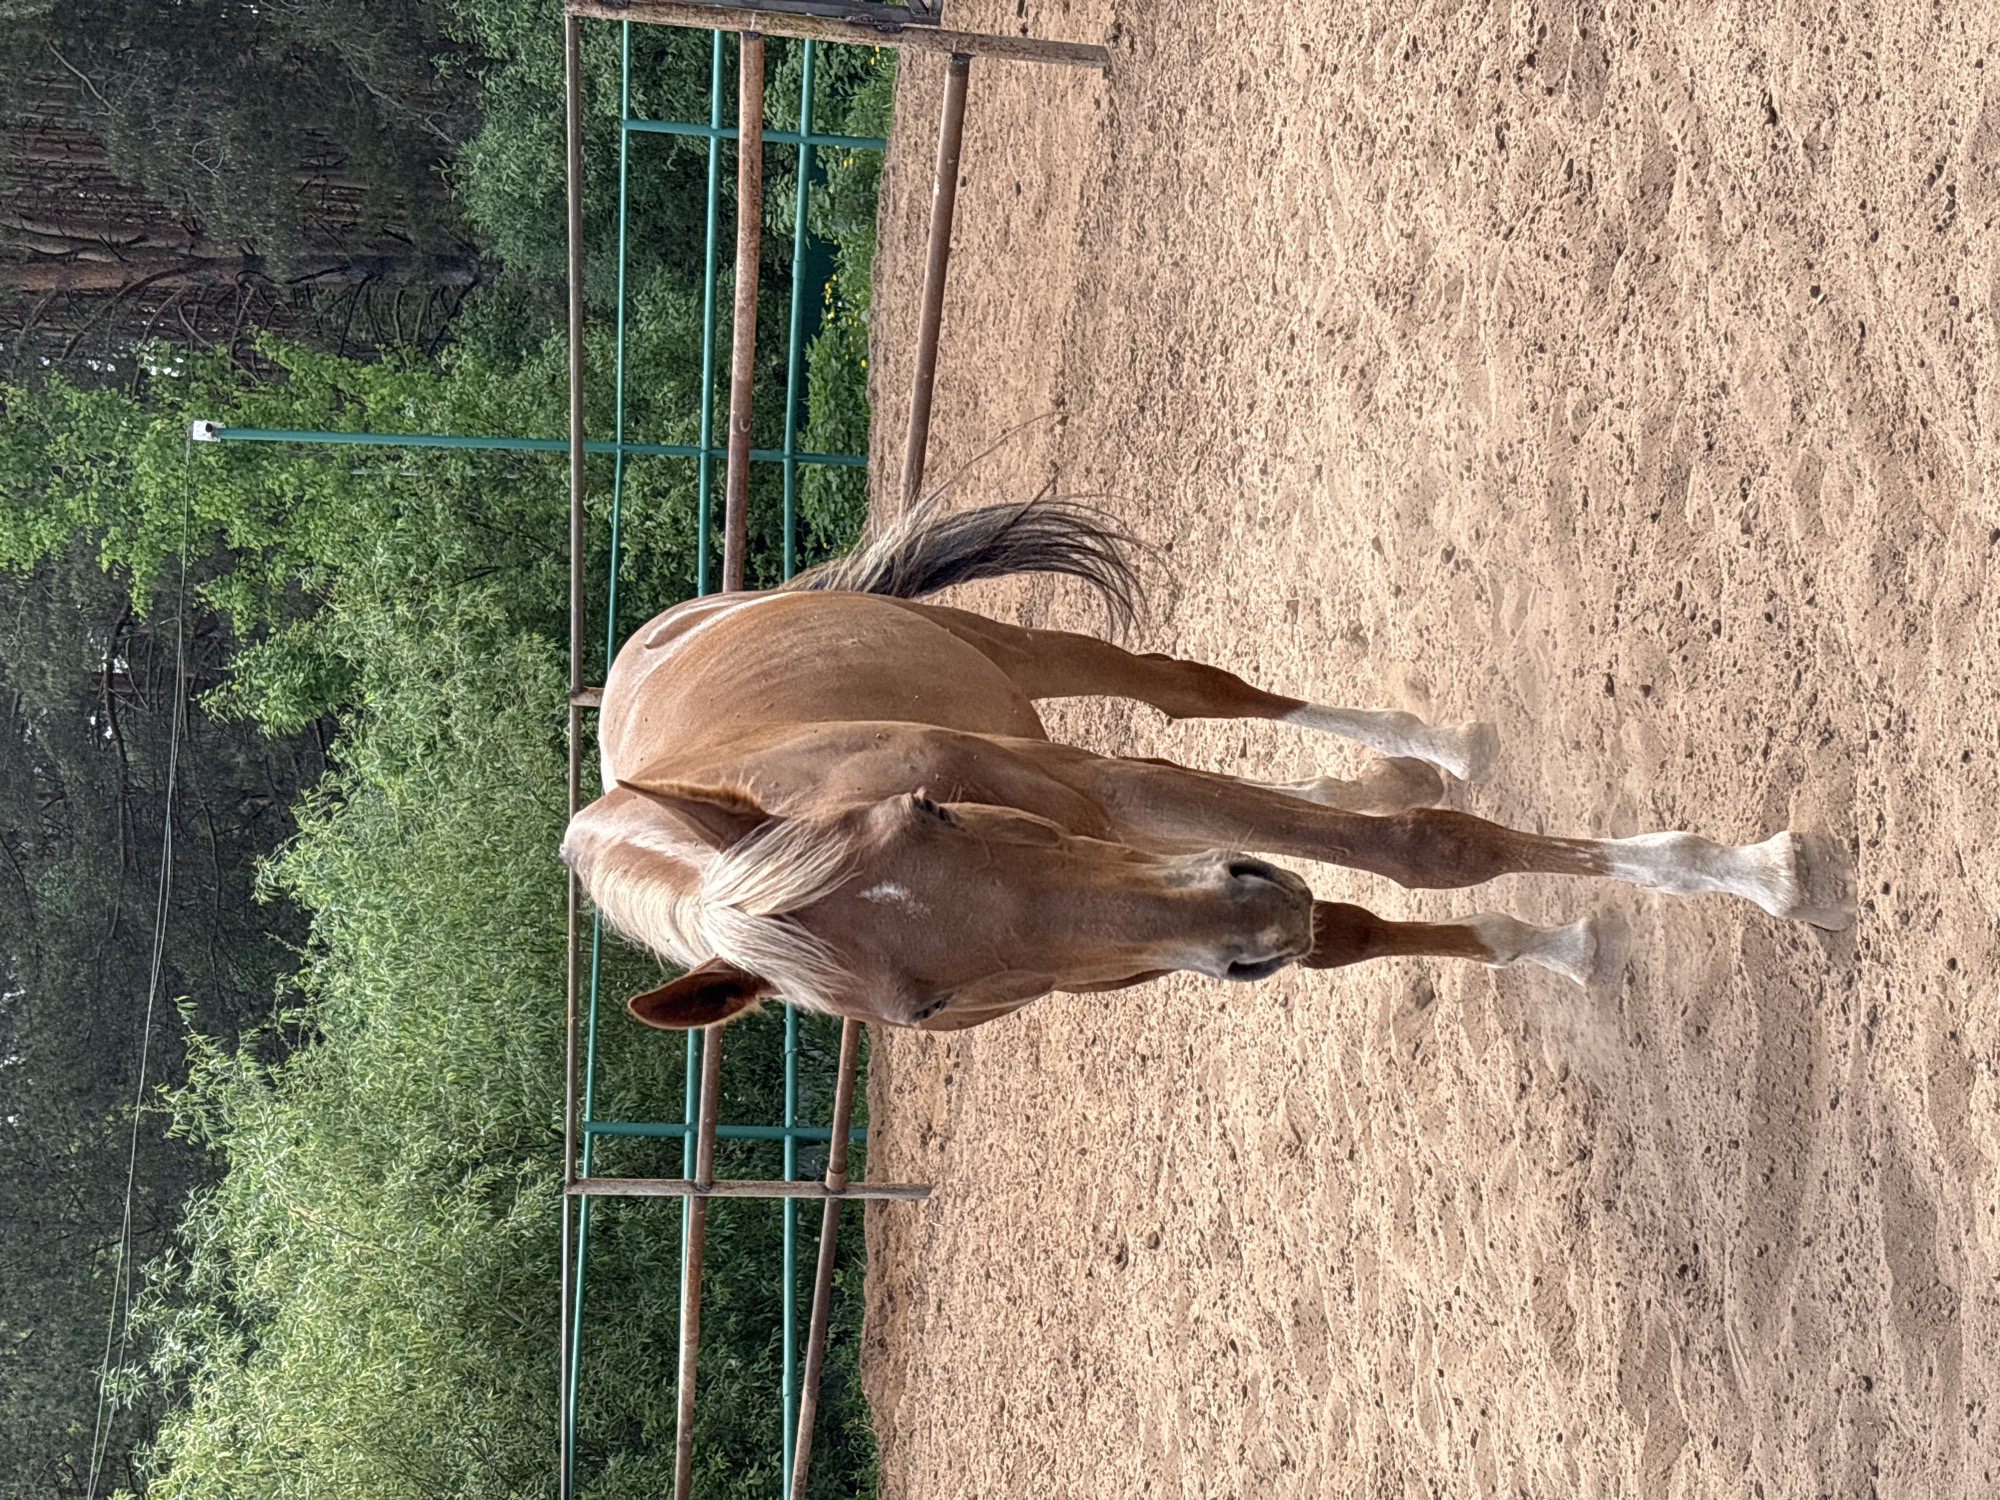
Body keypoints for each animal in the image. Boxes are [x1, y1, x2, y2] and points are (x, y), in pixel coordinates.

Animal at [562, 500, 1848, 1032]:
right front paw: (1549, 944)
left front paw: (1762, 876)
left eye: (932, 809)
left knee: (1196, 691)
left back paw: (1428, 748)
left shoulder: (1118, 797)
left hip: (1032, 656)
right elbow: (1347, 921)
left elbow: (1425, 855)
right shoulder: (1135, 934)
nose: (1248, 925)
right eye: (923, 1008)